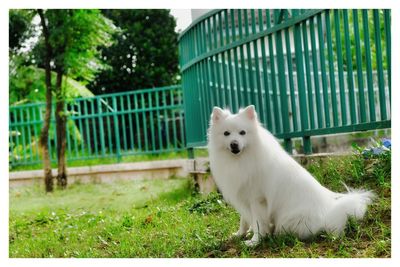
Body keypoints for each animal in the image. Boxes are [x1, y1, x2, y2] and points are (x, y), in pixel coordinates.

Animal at [208, 105, 374, 248]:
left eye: (242, 132)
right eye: (226, 133)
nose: (234, 144)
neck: (240, 160)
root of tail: (329, 214)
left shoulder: (257, 199)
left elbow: (258, 223)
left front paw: (255, 241)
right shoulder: (244, 197)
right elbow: (244, 220)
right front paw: (239, 234)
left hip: (288, 219)